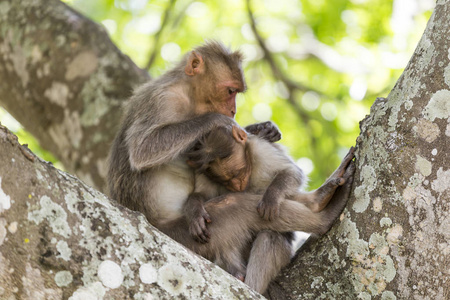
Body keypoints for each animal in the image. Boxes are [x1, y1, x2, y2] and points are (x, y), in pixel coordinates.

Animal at [186, 125, 356, 292]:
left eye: (239, 172)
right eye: (225, 180)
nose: (237, 186)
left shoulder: (259, 149)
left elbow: (291, 172)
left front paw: (271, 197)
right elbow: (202, 195)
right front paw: (195, 212)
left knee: (271, 235)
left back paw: (319, 200)